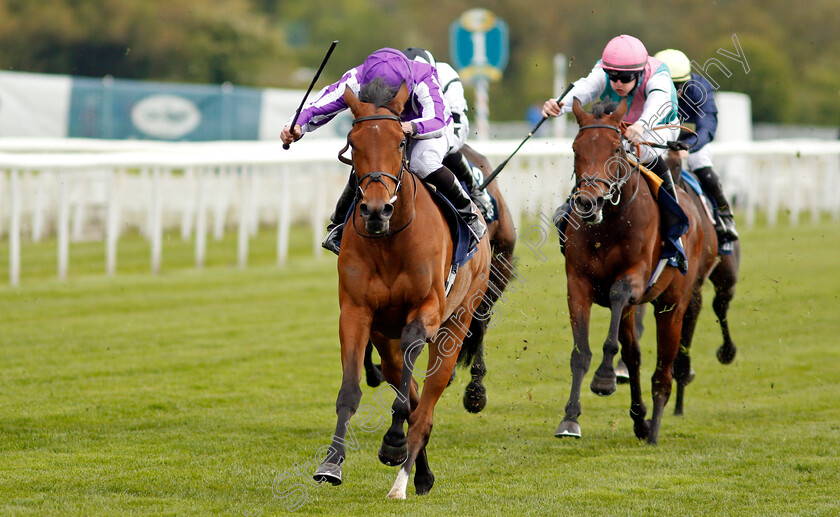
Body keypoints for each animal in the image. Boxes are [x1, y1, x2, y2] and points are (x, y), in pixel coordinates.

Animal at [318, 82, 496, 498]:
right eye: (353, 143)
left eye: (401, 141)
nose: (376, 210)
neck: (390, 241)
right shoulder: (357, 313)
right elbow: (351, 390)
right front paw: (331, 464)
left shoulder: (427, 309)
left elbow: (408, 393)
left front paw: (394, 444)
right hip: (386, 340)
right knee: (409, 388)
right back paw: (420, 474)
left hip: (456, 323)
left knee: (426, 406)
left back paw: (403, 476)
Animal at [556, 98, 720, 444]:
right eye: (576, 148)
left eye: (616, 148)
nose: (589, 203)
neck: (608, 224)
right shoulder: (577, 284)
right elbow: (581, 352)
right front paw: (570, 418)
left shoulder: (634, 278)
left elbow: (617, 299)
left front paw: (604, 378)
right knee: (634, 356)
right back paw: (640, 419)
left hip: (673, 305)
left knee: (663, 370)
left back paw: (654, 428)